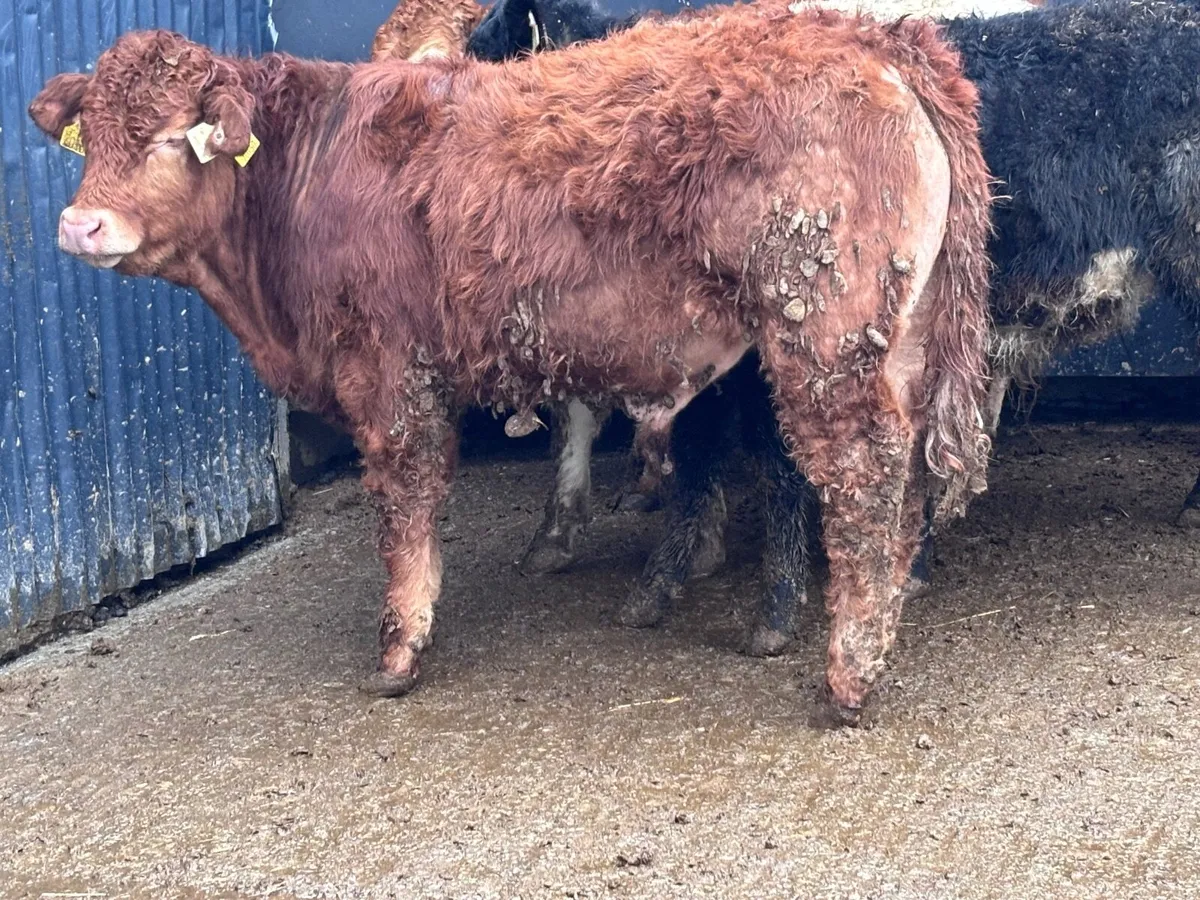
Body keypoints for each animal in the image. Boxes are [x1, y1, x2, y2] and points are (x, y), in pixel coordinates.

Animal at [29, 3, 994, 717]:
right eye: (91, 135)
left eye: (170, 136)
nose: (79, 224)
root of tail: (871, 35)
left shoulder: (390, 371)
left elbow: (406, 506)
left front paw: (401, 647)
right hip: (899, 339)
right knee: (906, 476)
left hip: (827, 344)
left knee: (864, 478)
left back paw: (849, 675)